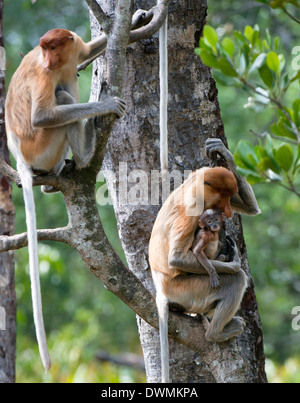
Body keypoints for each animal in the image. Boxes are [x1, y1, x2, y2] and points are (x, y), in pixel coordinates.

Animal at [5, 28, 126, 372]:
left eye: (53, 47)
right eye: (44, 51)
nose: (48, 60)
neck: (58, 63)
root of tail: (20, 158)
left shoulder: (75, 49)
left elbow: (88, 49)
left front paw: (143, 21)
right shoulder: (44, 76)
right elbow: (43, 115)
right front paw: (105, 104)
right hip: (43, 147)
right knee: (62, 99)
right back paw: (83, 155)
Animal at [149, 138, 262, 382]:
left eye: (231, 197)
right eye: (223, 198)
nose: (228, 211)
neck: (194, 186)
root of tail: (161, 288)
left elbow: (251, 209)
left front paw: (223, 152)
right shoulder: (194, 207)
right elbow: (176, 259)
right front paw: (234, 262)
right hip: (188, 289)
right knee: (236, 280)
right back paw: (215, 333)